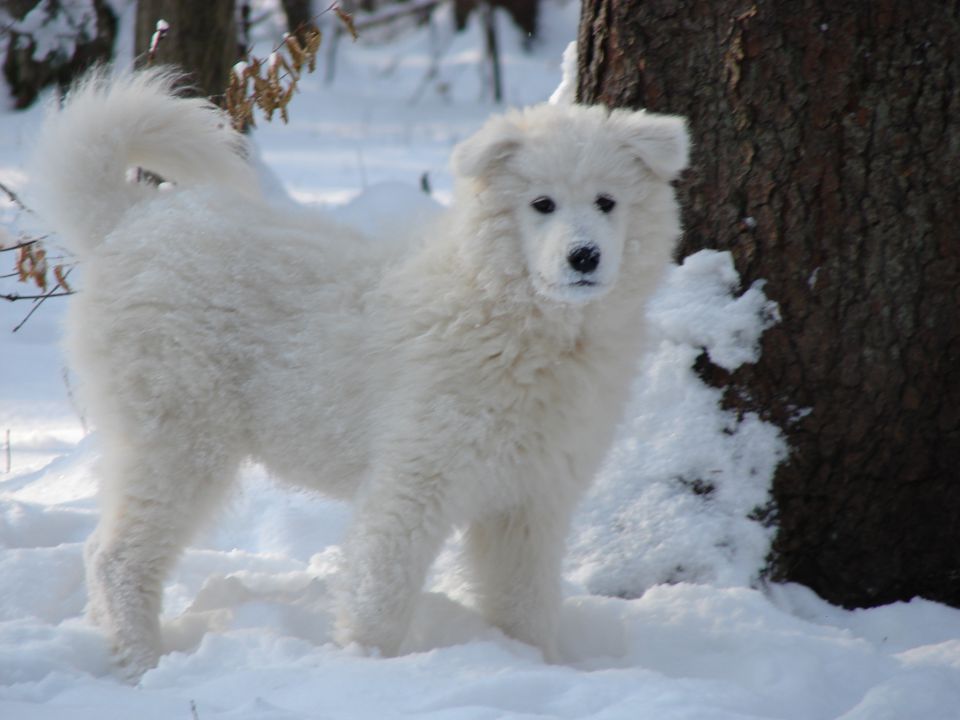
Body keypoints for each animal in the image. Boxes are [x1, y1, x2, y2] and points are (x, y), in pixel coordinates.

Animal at [30, 70, 688, 676]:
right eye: (542, 204)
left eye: (607, 202)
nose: (584, 257)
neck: (518, 323)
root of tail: (128, 222)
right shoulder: (413, 479)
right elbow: (382, 591)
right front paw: (366, 667)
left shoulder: (530, 501)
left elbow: (524, 604)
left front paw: (533, 665)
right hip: (177, 434)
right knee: (117, 557)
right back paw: (143, 663)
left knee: (103, 549)